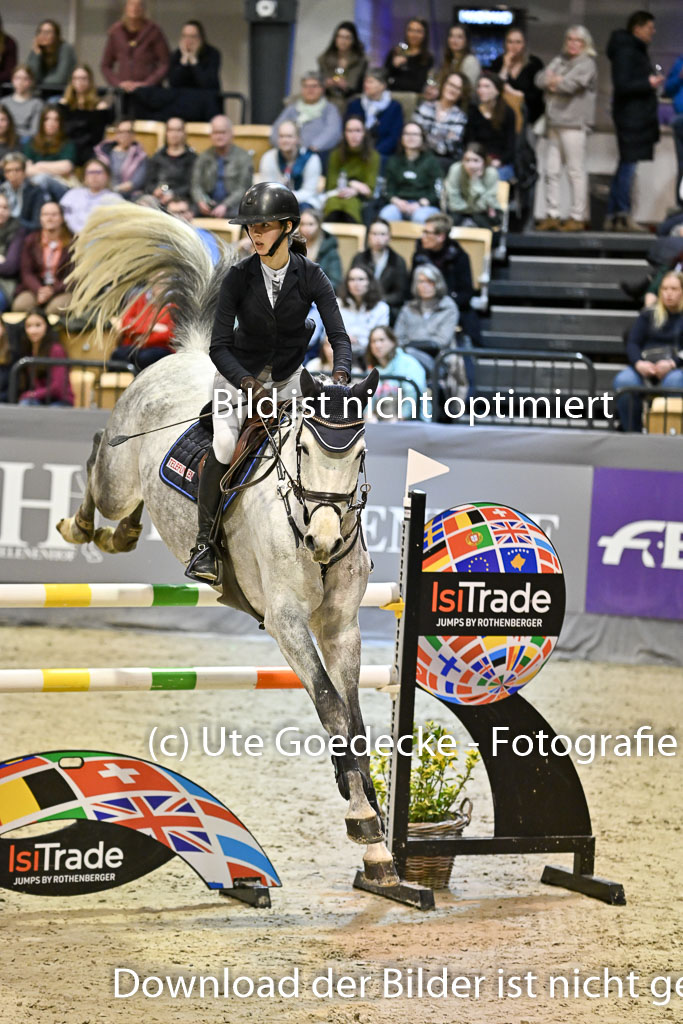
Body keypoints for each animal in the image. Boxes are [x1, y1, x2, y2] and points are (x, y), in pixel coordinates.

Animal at [57, 206, 398, 886]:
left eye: (358, 455)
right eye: (304, 448)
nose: (324, 539)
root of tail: (185, 355)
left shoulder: (342, 627)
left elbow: (354, 719)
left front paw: (375, 844)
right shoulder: (288, 620)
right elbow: (330, 707)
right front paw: (364, 823)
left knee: (126, 511)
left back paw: (124, 534)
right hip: (120, 471)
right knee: (98, 464)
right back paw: (83, 526)